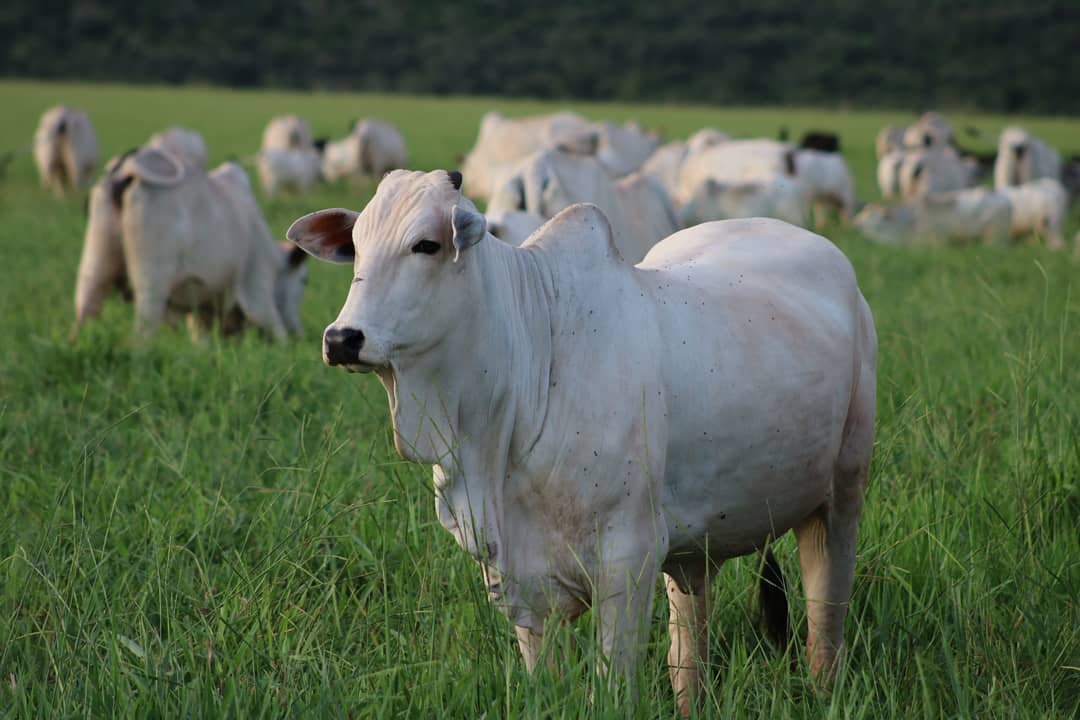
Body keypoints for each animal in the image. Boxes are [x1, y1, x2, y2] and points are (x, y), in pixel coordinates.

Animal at [71, 146, 308, 341]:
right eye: (304, 282)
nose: (298, 333)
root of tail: (129, 167)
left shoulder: (201, 311)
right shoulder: (258, 290)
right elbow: (278, 334)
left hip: (95, 267)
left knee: (85, 311)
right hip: (152, 281)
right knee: (142, 334)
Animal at [287, 167, 876, 716]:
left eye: (425, 245)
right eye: (357, 245)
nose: (342, 338)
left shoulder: (628, 557)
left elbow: (612, 685)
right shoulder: (520, 572)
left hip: (841, 494)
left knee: (826, 616)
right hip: (697, 550)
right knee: (689, 641)